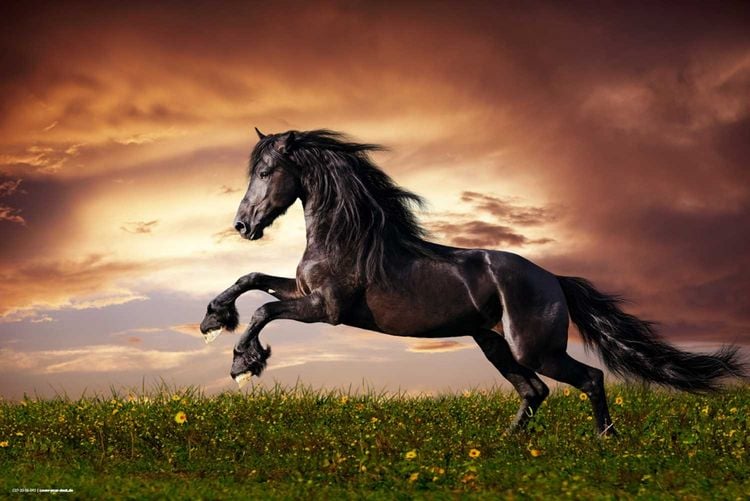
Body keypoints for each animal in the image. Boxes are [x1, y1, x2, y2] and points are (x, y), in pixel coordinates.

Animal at [200, 128, 746, 435]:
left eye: (267, 172)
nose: (243, 225)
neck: (348, 237)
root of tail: (554, 280)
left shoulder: (326, 309)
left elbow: (264, 309)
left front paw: (243, 362)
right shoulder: (306, 293)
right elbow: (252, 279)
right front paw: (212, 320)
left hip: (533, 348)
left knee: (587, 378)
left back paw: (605, 441)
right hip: (493, 343)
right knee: (534, 393)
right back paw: (505, 446)